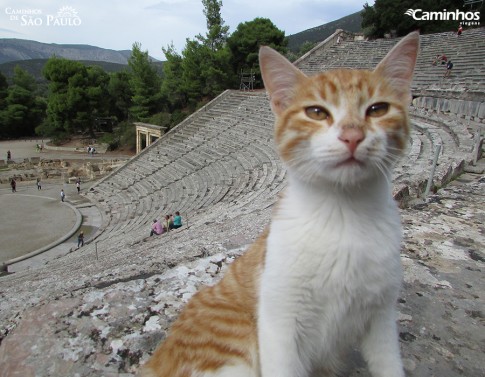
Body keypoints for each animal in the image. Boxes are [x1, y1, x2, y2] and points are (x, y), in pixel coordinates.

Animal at [138, 31, 418, 376]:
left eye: (377, 109)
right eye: (316, 112)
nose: (352, 136)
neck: (343, 214)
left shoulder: (381, 316)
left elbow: (387, 363)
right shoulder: (280, 321)